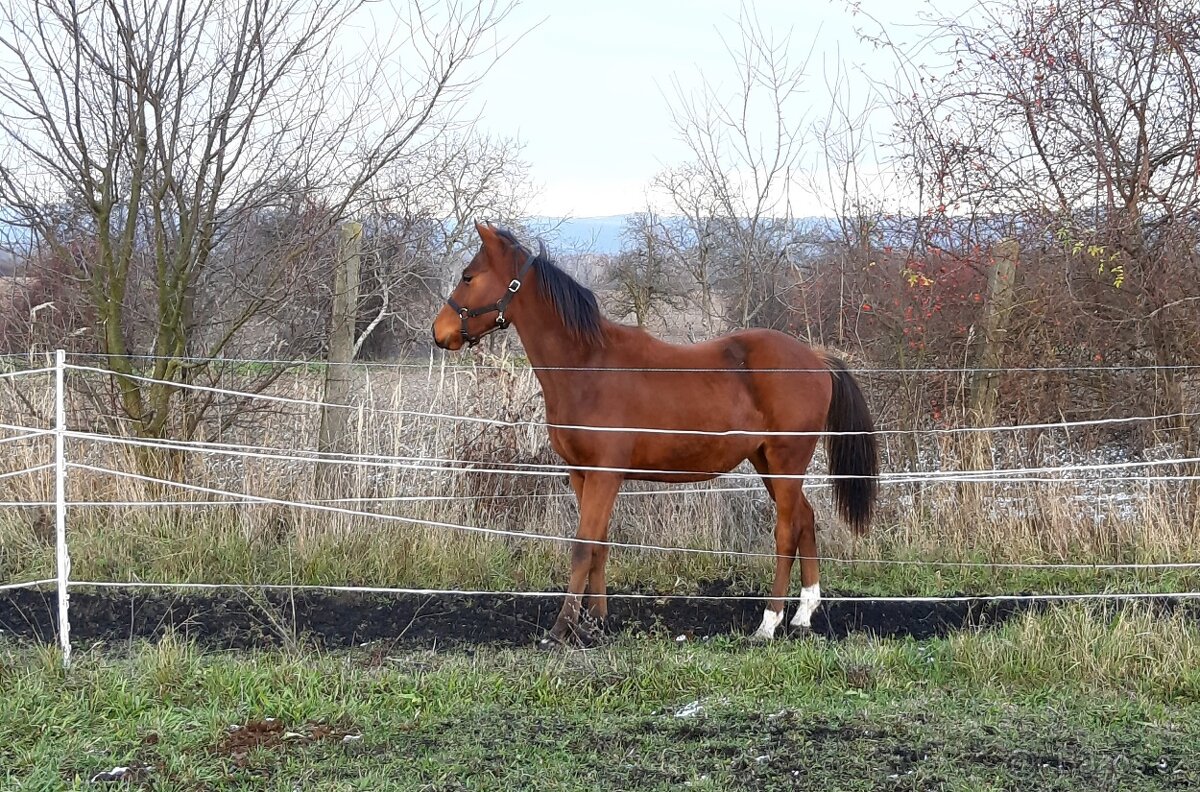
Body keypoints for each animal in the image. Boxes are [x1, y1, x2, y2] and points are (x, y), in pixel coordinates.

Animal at [432, 222, 878, 643]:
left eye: (468, 276)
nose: (439, 332)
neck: (587, 366)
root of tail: (815, 358)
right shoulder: (583, 474)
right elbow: (599, 544)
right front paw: (595, 621)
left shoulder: (604, 475)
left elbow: (582, 546)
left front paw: (561, 629)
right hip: (767, 461)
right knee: (805, 517)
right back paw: (803, 614)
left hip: (786, 461)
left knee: (786, 532)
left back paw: (769, 622)